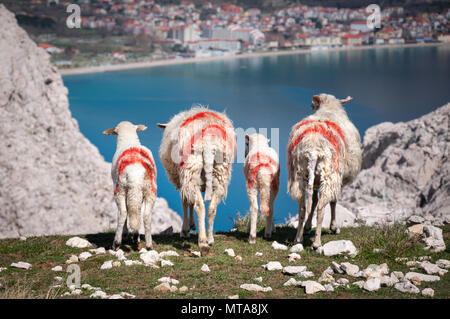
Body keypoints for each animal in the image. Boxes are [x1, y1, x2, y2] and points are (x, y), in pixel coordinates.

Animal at [103, 121, 157, 251]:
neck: (129, 139)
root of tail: (135, 173)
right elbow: (136, 211)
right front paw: (135, 236)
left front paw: (127, 234)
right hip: (149, 190)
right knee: (145, 215)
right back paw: (149, 245)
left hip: (120, 189)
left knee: (123, 213)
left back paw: (116, 243)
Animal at [157, 106, 236, 256]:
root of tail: (209, 142)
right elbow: (191, 202)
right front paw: (192, 225)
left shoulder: (181, 181)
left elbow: (185, 202)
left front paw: (185, 229)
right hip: (220, 171)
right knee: (212, 207)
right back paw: (209, 239)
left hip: (191, 167)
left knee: (199, 206)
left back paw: (203, 243)